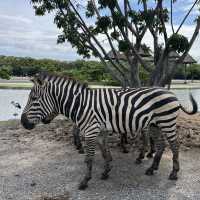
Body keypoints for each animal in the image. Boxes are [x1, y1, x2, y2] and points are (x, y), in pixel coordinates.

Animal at [21, 72, 198, 190]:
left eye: (34, 99)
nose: (23, 123)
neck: (81, 104)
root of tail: (171, 93)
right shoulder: (99, 131)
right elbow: (105, 152)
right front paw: (106, 172)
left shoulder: (90, 131)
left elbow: (89, 158)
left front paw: (85, 181)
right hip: (155, 124)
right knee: (161, 145)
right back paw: (151, 168)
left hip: (167, 122)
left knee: (175, 145)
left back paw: (174, 173)